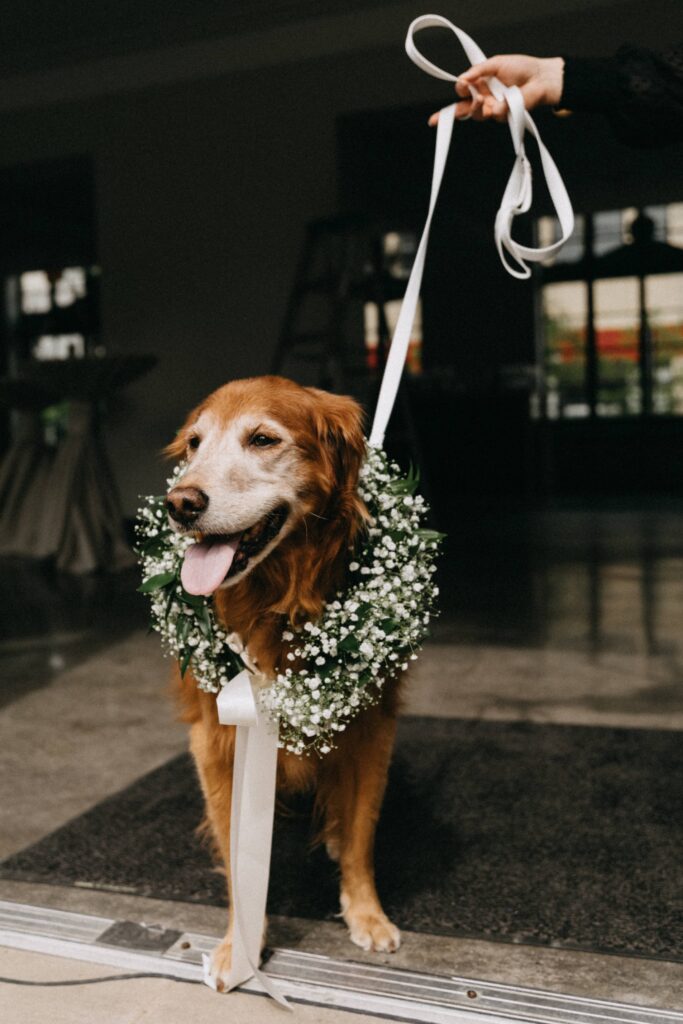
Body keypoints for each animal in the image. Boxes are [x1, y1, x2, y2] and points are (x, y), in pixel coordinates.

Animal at [164, 376, 401, 991]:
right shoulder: (215, 736)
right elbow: (234, 848)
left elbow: (363, 831)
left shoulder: (373, 728)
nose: (181, 504)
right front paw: (239, 946)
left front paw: (366, 913)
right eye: (195, 443)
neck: (277, 598)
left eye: (263, 439)